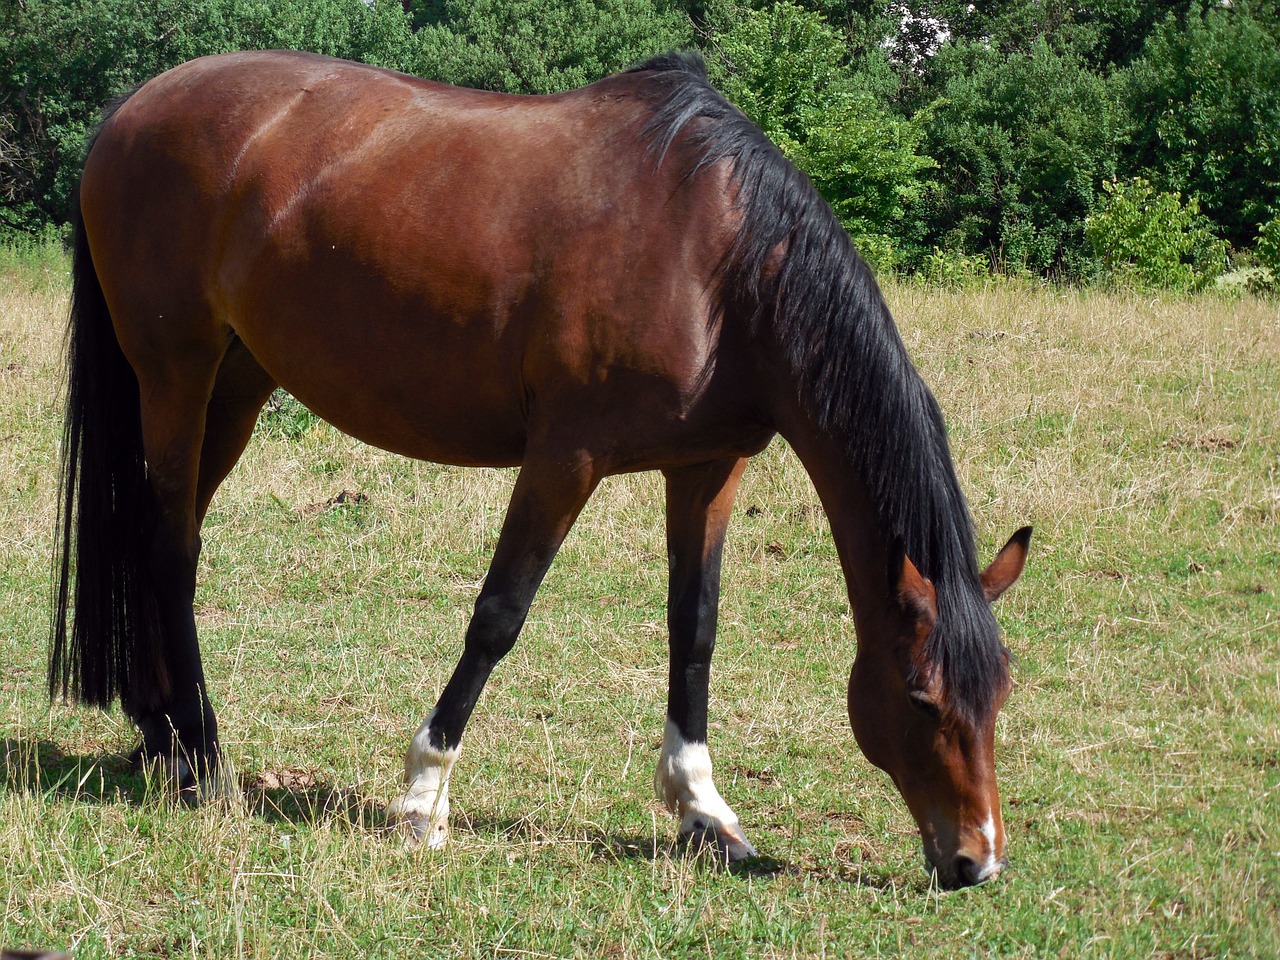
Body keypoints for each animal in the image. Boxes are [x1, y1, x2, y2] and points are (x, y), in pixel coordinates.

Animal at [52, 48, 1029, 890]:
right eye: (922, 698)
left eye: (1000, 695)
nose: (976, 861)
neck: (719, 265)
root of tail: (129, 111)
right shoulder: (566, 458)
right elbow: (498, 616)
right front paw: (423, 795)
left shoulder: (708, 469)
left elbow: (695, 629)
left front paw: (704, 811)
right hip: (175, 375)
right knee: (172, 550)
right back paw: (202, 752)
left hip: (236, 384)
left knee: (162, 537)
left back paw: (160, 732)